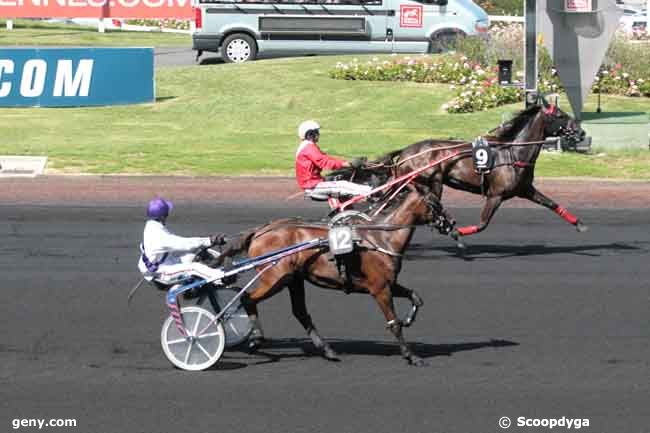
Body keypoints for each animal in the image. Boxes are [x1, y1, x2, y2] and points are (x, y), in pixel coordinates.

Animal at [232, 187, 440, 366]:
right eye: (434, 202)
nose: (447, 223)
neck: (382, 239)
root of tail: (259, 232)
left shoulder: (388, 283)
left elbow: (416, 297)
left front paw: (409, 319)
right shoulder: (379, 288)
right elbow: (394, 323)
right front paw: (412, 356)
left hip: (293, 279)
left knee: (300, 312)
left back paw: (327, 350)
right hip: (275, 278)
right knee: (247, 298)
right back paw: (257, 339)